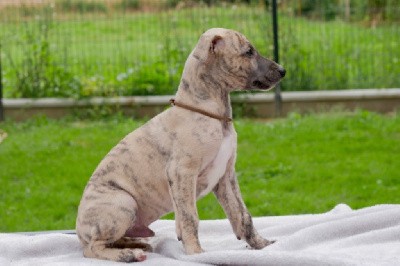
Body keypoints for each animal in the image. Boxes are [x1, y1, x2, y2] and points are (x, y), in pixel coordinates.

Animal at [76, 27, 286, 262]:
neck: (212, 114)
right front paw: (195, 252)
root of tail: (78, 230)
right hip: (123, 202)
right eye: (248, 52)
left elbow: (242, 214)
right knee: (92, 248)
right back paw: (128, 254)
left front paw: (261, 244)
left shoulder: (226, 176)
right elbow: (189, 217)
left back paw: (138, 244)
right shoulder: (182, 172)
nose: (283, 70)